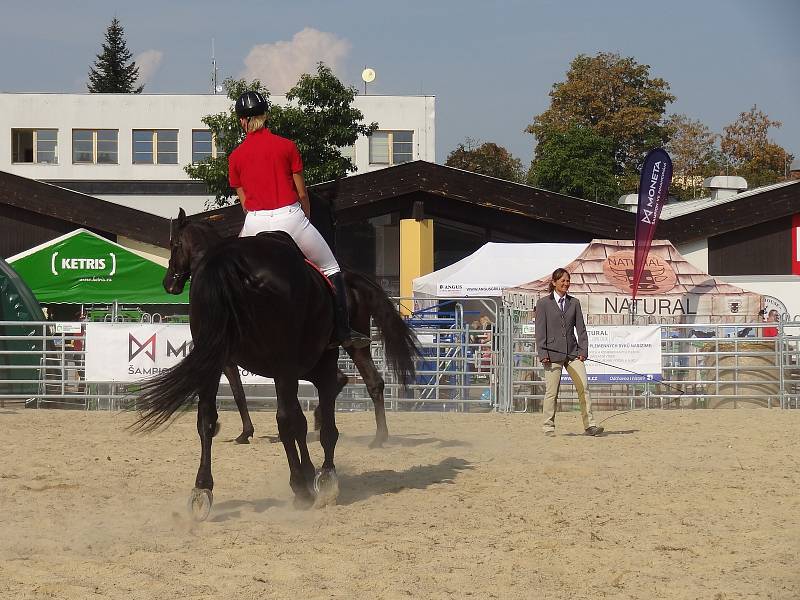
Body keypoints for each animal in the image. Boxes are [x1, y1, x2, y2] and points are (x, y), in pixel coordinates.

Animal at [134, 210, 416, 516]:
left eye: (173, 244)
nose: (169, 283)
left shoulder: (244, 364)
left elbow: (252, 401)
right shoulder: (281, 366)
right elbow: (291, 416)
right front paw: (314, 472)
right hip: (304, 362)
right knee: (300, 408)